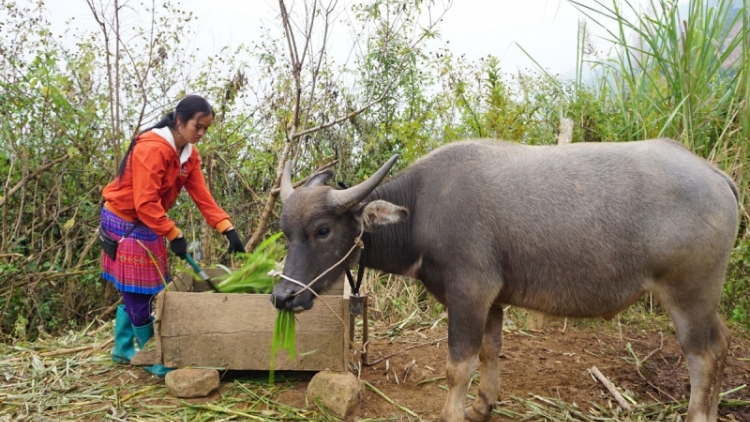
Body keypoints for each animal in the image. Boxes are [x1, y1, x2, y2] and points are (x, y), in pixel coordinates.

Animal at [272, 139, 740, 422]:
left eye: (323, 230)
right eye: (285, 231)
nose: (282, 296)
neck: (421, 210)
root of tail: (716, 177)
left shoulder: (468, 295)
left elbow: (457, 365)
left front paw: (452, 412)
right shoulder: (492, 300)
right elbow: (489, 352)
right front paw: (483, 405)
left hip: (689, 295)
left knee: (702, 356)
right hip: (704, 301)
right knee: (722, 344)